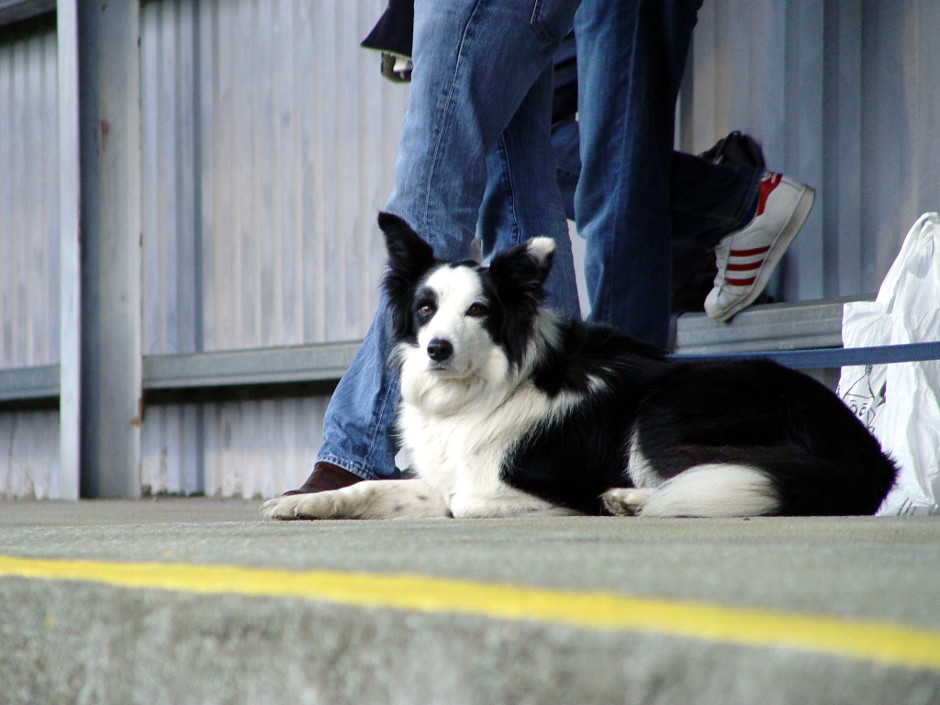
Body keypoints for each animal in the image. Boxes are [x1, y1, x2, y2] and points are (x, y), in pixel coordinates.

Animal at [262, 212, 897, 520]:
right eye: (425, 308)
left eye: (478, 310)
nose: (437, 349)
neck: (482, 390)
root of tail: (864, 450)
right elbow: (377, 488)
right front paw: (303, 503)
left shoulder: (523, 484)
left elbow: (460, 500)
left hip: (663, 413)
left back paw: (632, 499)